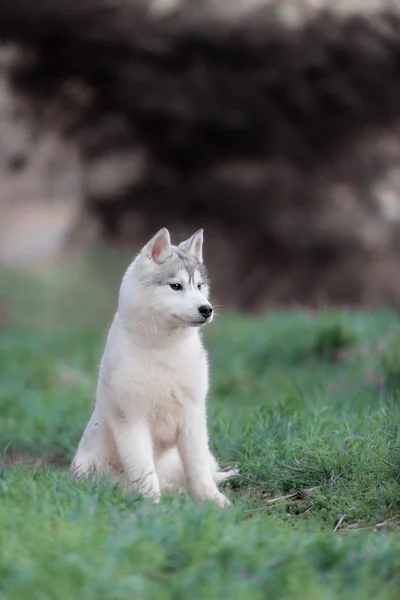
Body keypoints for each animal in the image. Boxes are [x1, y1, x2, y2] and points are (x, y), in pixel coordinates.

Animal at [71, 227, 238, 504]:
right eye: (176, 286)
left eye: (199, 286)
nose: (207, 309)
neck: (162, 350)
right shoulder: (132, 421)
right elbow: (145, 472)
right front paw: (153, 505)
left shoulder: (193, 415)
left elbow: (198, 467)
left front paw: (212, 500)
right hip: (87, 470)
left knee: (202, 470)